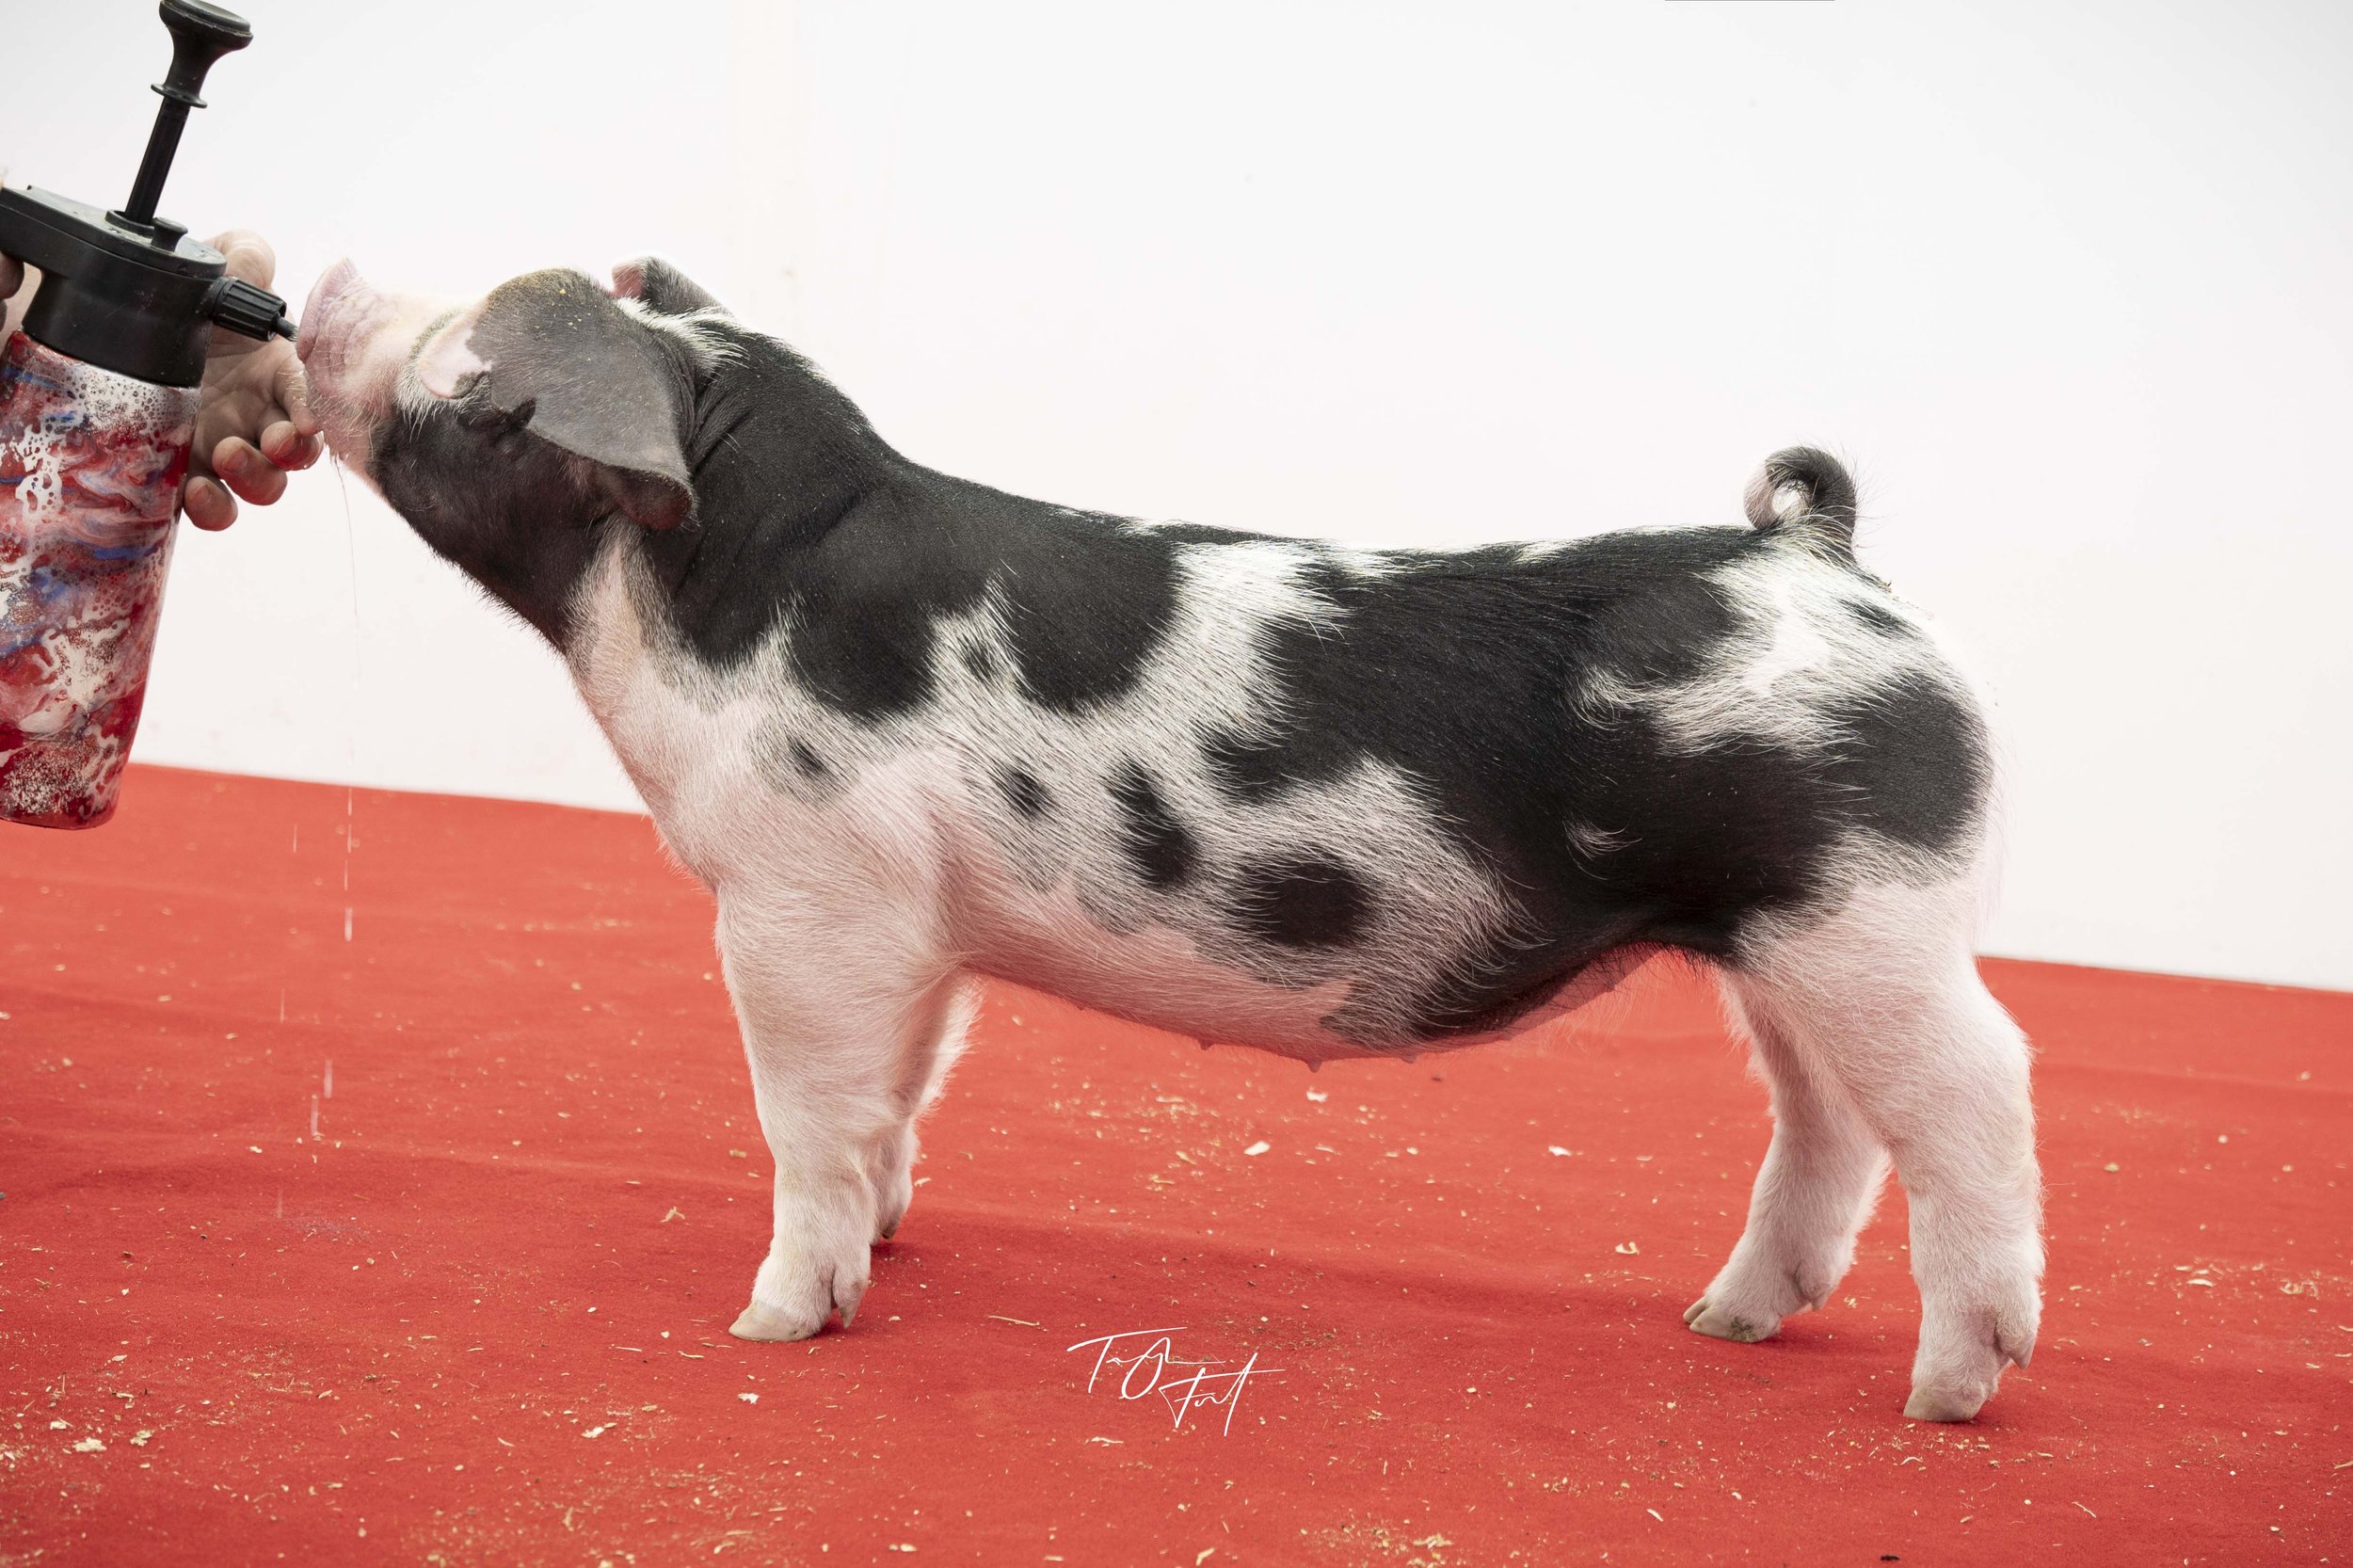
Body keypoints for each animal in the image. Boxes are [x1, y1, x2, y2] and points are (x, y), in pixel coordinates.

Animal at [296, 256, 2041, 1422]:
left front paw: (775, 1323)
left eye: (474, 371)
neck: (708, 596)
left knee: (1980, 1087)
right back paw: (1723, 1323)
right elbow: (897, 1091)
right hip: (1783, 938)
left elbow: (803, 1114)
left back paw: (1950, 1389)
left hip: (1876, 914)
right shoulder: (912, 924)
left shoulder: (802, 892)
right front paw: (891, 1239)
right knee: (1827, 1123)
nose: (327, 276)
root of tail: (1826, 562)